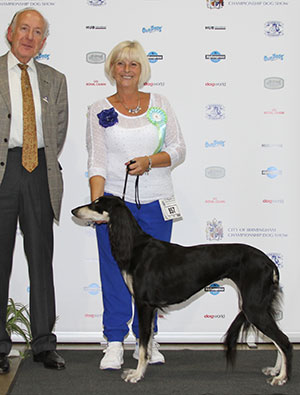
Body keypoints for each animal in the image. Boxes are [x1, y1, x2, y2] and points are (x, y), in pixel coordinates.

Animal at [72, 196, 292, 386]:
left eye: (96, 204)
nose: (73, 211)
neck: (135, 246)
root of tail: (270, 262)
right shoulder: (150, 307)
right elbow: (146, 342)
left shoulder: (144, 305)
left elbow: (143, 345)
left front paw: (137, 374)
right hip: (257, 306)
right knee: (278, 339)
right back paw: (276, 370)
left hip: (253, 308)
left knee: (284, 341)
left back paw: (282, 378)